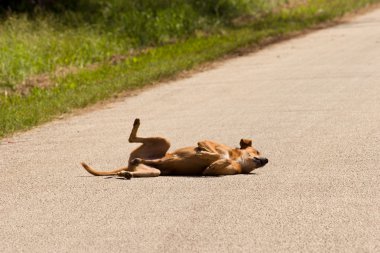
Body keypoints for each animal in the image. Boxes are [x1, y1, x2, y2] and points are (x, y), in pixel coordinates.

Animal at [81, 118, 268, 179]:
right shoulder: (207, 142)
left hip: (153, 171)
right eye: (258, 151)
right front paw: (204, 152)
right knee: (131, 138)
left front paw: (213, 161)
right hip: (165, 141)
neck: (237, 158)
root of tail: (128, 163)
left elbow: (213, 165)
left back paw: (126, 173)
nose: (266, 160)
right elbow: (214, 152)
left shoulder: (214, 170)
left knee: (140, 166)